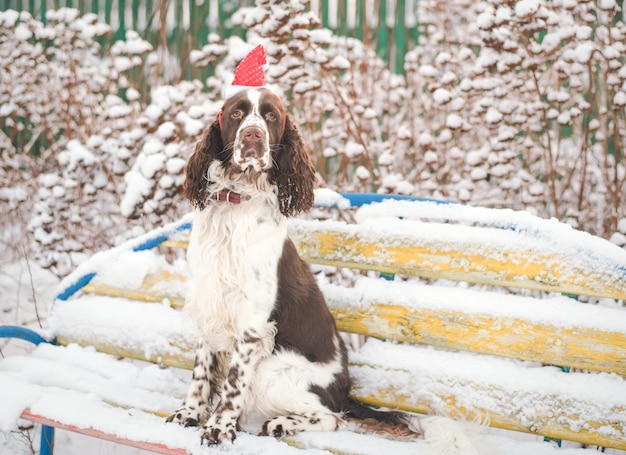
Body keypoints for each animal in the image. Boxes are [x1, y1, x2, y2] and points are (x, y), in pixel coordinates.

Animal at [165, 82, 414, 446]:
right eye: (237, 112)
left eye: (271, 116)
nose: (253, 135)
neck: (235, 203)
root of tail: (345, 392)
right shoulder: (209, 301)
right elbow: (201, 371)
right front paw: (190, 413)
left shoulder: (251, 322)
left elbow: (233, 383)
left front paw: (219, 427)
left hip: (274, 371)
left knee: (333, 417)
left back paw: (279, 424)